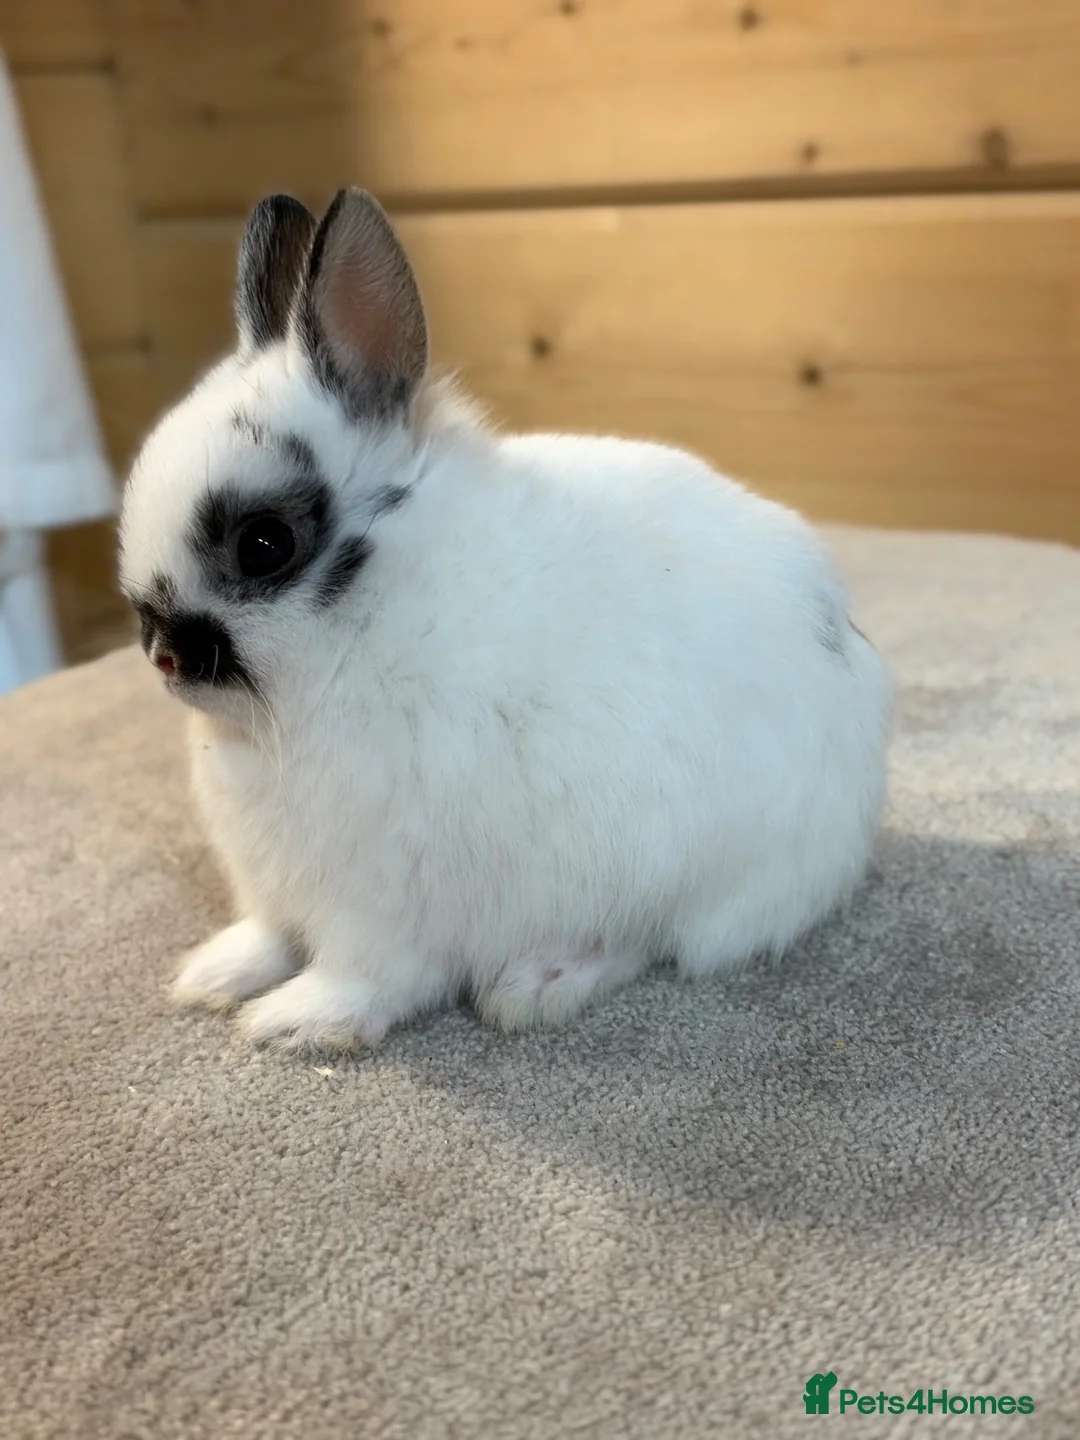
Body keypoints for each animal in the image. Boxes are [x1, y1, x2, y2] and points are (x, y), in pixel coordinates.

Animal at [118, 187, 891, 1052]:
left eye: (264, 545)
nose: (163, 654)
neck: (373, 623)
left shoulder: (378, 901)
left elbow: (368, 976)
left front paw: (292, 1022)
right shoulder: (273, 883)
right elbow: (271, 934)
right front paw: (212, 976)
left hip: (673, 869)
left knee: (640, 941)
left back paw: (534, 986)